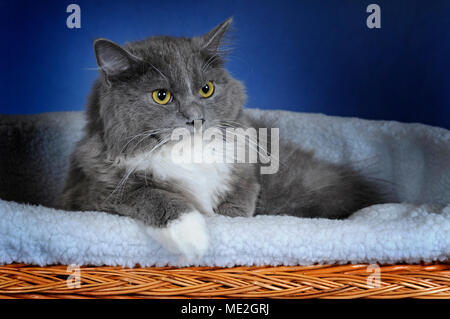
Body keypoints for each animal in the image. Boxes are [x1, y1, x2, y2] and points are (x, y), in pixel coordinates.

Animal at [61, 17, 382, 262]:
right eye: (161, 95)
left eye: (207, 89)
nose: (195, 118)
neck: (188, 153)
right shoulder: (89, 193)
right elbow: (150, 194)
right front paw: (193, 236)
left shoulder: (246, 174)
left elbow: (236, 209)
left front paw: (228, 231)